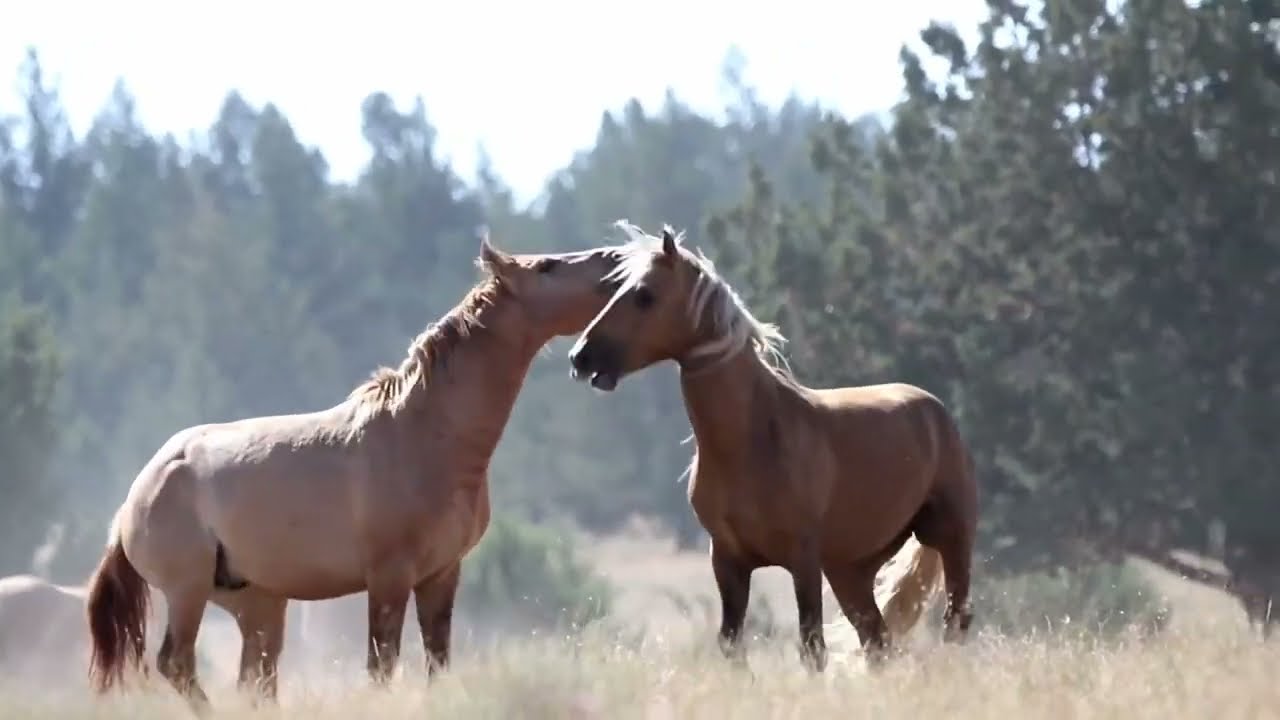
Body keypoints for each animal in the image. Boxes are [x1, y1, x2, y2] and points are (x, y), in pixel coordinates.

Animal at [85, 232, 628, 714]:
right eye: (547, 267)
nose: (614, 260)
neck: (422, 434)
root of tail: (133, 500)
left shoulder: (440, 575)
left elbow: (437, 662)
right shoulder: (388, 578)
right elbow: (381, 666)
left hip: (258, 604)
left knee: (255, 680)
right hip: (188, 593)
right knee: (177, 663)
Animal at [567, 221, 978, 672]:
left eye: (645, 295)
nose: (580, 357)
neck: (751, 441)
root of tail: (934, 409)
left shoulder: (802, 560)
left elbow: (812, 647)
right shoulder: (728, 561)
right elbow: (732, 645)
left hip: (950, 536)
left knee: (955, 620)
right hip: (850, 570)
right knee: (877, 639)